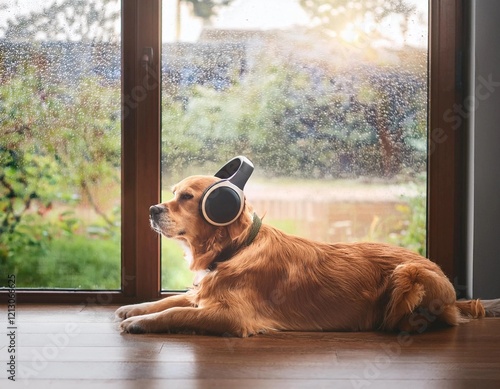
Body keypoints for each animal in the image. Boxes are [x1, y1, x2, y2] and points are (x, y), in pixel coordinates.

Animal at [116, 159, 488, 334]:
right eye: (172, 193)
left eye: (186, 197)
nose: (152, 209)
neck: (235, 249)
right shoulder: (203, 294)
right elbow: (173, 300)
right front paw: (134, 308)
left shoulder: (232, 317)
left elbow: (176, 311)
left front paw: (140, 323)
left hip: (408, 275)